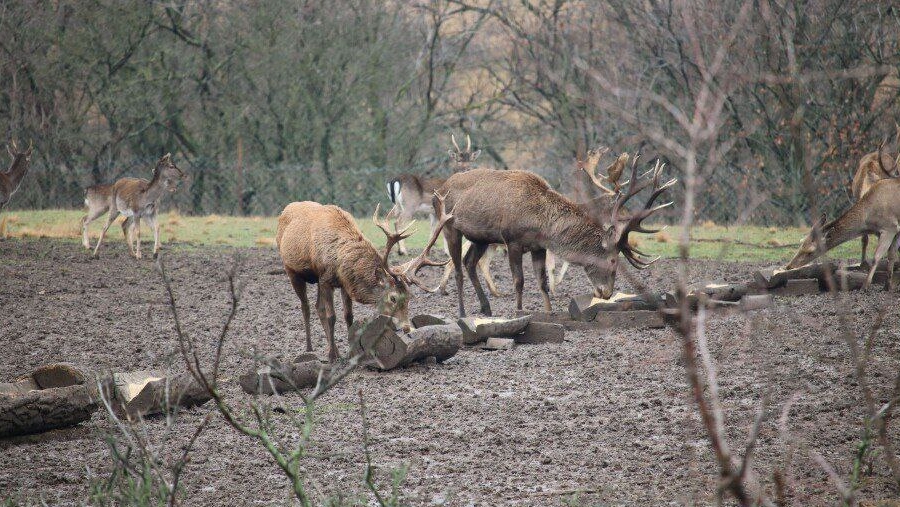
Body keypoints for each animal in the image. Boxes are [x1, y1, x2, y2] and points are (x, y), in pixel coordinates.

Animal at [274, 190, 454, 362]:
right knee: (306, 307)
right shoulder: (325, 278)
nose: (406, 328)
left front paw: (349, 352)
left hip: (315, 280)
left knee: (318, 307)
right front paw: (332, 357)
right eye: (393, 298)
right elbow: (332, 316)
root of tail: (285, 209)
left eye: (409, 296)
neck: (339, 260)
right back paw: (310, 348)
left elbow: (348, 316)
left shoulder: (344, 283)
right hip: (291, 270)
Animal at [436, 155, 676, 318]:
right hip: (450, 227)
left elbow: (542, 281)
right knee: (457, 268)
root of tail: (440, 188)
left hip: (481, 238)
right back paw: (462, 312)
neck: (539, 223)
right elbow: (519, 280)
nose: (606, 293)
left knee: (469, 262)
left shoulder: (538, 246)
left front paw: (549, 312)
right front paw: (519, 311)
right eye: (613, 261)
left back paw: (486, 308)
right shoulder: (512, 240)